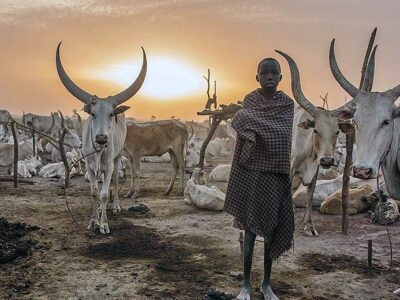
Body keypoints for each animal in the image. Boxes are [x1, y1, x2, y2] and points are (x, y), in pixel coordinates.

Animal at [54, 42, 145, 234]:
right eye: (93, 114)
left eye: (111, 114)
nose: (102, 138)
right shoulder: (89, 167)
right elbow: (94, 193)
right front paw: (93, 222)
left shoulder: (109, 165)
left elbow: (103, 194)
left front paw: (104, 224)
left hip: (118, 157)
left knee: (116, 181)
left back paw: (115, 206)